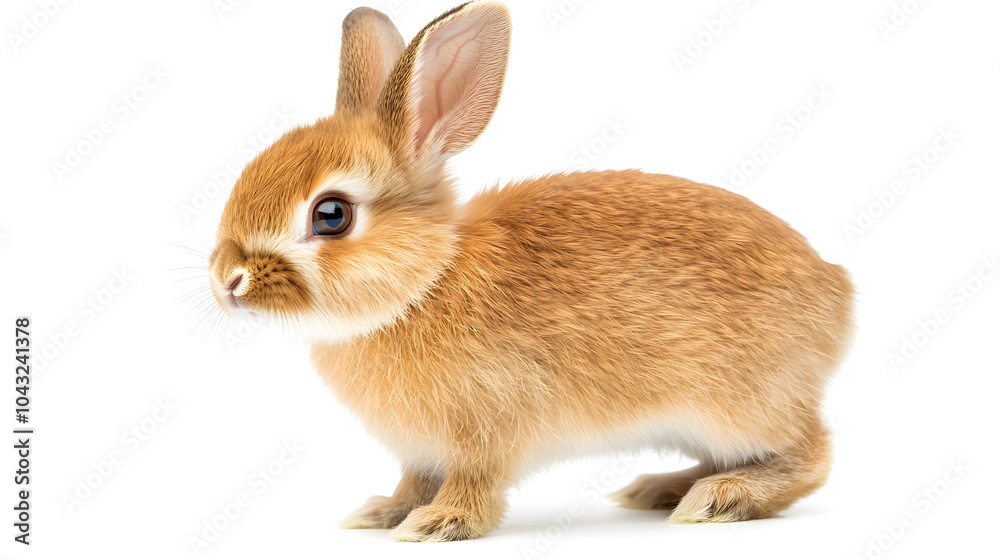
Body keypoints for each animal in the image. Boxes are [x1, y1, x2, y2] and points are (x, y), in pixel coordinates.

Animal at [208, 0, 854, 542]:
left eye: (332, 214)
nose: (227, 280)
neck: (425, 282)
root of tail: (839, 293)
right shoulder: (421, 451)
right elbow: (413, 481)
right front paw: (384, 511)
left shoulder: (489, 428)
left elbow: (474, 484)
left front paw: (439, 524)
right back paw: (660, 488)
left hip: (735, 406)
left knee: (812, 454)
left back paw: (718, 499)